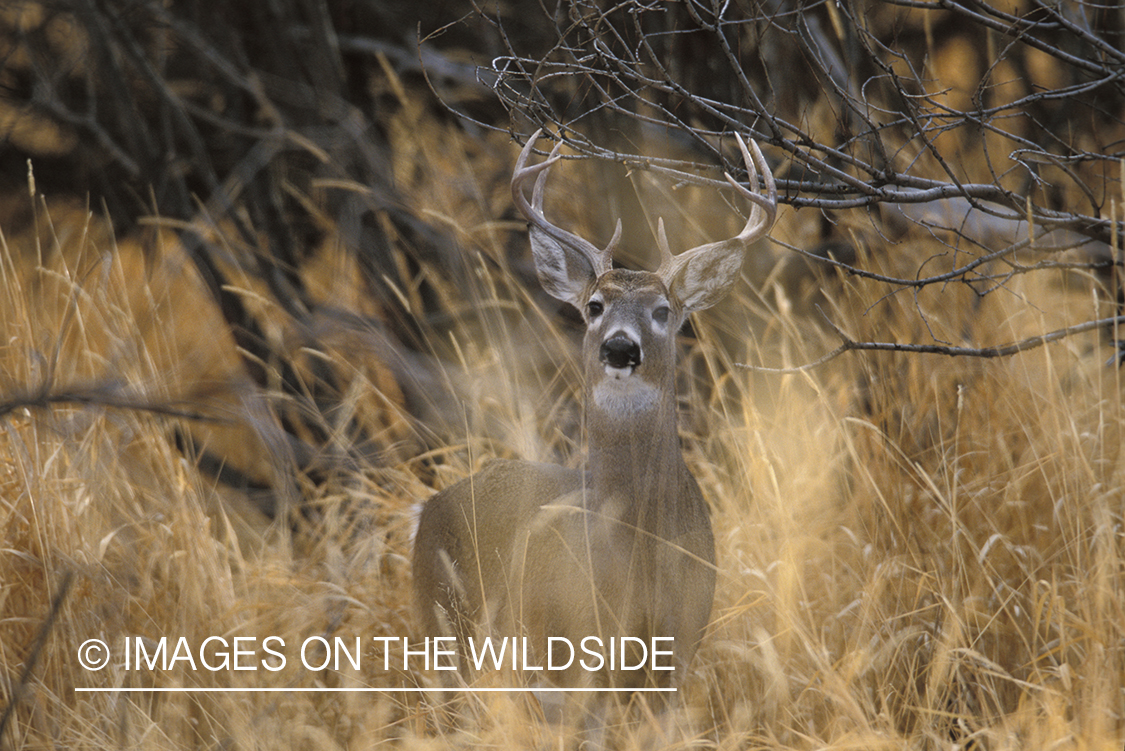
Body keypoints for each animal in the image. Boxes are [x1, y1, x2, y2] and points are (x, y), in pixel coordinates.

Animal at [412, 129, 777, 741]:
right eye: (594, 305)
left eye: (663, 309)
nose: (620, 347)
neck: (641, 553)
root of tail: (426, 509)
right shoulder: (577, 662)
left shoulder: (678, 653)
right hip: (443, 633)